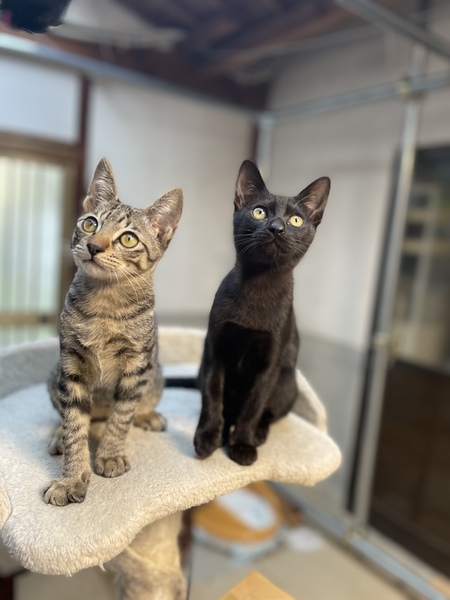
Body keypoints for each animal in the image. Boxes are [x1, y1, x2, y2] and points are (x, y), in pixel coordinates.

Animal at [44, 157, 183, 506]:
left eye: (128, 239)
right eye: (90, 224)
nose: (93, 246)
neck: (106, 305)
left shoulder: (136, 367)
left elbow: (122, 417)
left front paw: (109, 454)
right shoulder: (72, 366)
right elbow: (75, 424)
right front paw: (71, 477)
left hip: (154, 375)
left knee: (132, 409)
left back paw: (147, 417)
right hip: (55, 375)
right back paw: (59, 434)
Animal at [194, 160, 330, 466]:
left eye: (296, 220)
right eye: (259, 212)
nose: (276, 227)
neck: (259, 285)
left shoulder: (269, 366)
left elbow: (253, 407)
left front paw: (243, 445)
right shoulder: (215, 352)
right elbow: (212, 398)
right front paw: (208, 437)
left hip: (287, 381)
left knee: (266, 413)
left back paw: (257, 434)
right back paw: (224, 433)